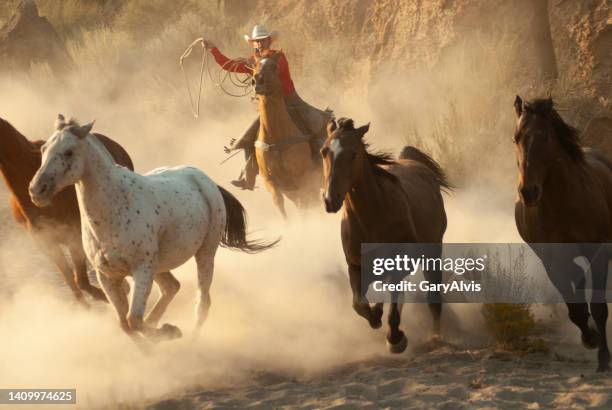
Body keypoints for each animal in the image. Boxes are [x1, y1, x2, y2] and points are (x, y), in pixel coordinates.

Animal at [0, 117, 133, 306]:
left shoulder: (74, 239)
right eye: (43, 150)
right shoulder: (47, 244)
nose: (37, 191)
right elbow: (72, 282)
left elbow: (82, 282)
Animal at [252, 52, 326, 216]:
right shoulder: (271, 181)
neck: (276, 137)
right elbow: (278, 201)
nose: (257, 80)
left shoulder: (302, 179)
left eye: (274, 66)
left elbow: (305, 206)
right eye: (255, 65)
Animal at [320, 117, 450, 352]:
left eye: (353, 153)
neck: (373, 217)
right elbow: (359, 304)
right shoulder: (355, 266)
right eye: (324, 151)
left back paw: (436, 337)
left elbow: (394, 298)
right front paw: (376, 316)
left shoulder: (400, 262)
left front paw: (396, 339)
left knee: (432, 298)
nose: (330, 200)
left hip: (433, 250)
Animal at [512, 96, 608, 372]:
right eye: (516, 137)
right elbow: (576, 309)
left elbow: (599, 307)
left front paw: (604, 359)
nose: (528, 192)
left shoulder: (599, 249)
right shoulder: (552, 261)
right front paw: (590, 338)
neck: (563, 204)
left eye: (544, 135)